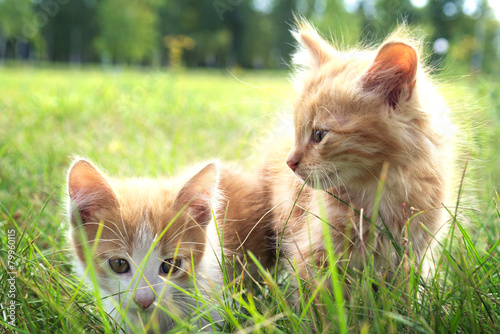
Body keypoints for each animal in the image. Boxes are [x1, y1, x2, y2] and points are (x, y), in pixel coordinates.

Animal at [266, 20, 458, 282]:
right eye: (296, 131)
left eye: (319, 135)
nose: (290, 162)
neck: (380, 190)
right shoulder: (313, 255)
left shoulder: (414, 256)